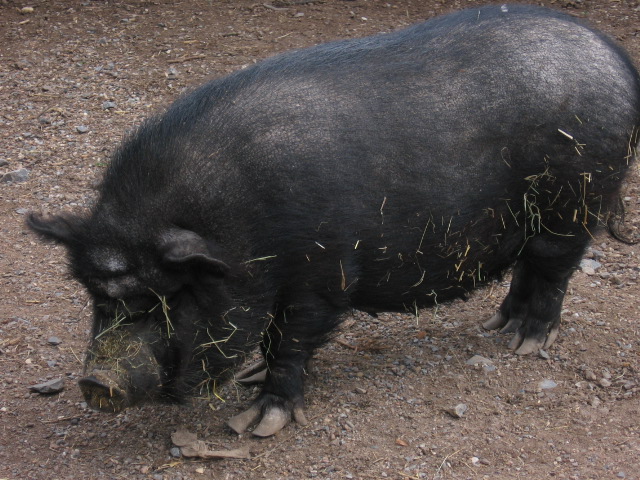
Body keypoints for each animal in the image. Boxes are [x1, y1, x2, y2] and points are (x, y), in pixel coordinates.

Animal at [30, 4, 640, 438]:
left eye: (163, 297)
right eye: (97, 298)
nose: (94, 380)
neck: (238, 227)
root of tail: (615, 56)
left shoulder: (321, 276)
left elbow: (289, 340)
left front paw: (256, 423)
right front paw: (250, 382)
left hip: (577, 200)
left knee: (553, 270)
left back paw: (524, 344)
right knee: (526, 269)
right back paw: (497, 327)